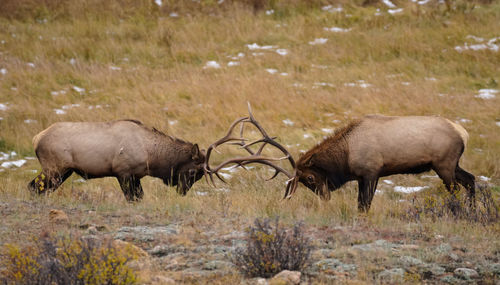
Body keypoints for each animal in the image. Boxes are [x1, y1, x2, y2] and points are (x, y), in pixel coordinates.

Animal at [28, 118, 205, 201]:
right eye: (192, 171)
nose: (182, 191)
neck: (150, 154)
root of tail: (36, 138)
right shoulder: (123, 172)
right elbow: (132, 198)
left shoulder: (135, 175)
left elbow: (139, 197)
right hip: (55, 169)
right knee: (34, 186)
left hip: (64, 171)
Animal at [207, 107, 476, 212]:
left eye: (309, 178)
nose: (325, 197)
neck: (345, 156)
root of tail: (463, 132)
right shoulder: (363, 176)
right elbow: (361, 204)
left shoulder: (371, 171)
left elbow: (364, 204)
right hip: (452, 164)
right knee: (471, 180)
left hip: (444, 164)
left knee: (455, 190)